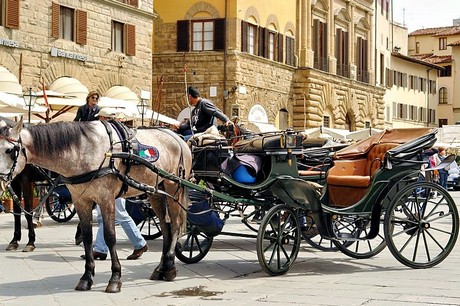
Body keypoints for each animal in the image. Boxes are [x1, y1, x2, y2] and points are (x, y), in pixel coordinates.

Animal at [0, 118, 191, 292]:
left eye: (9, 150)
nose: (1, 180)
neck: (83, 150)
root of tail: (178, 138)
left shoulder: (106, 200)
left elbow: (110, 236)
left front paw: (115, 278)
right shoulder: (81, 200)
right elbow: (87, 237)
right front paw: (86, 277)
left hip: (174, 188)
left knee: (175, 225)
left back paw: (170, 266)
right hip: (156, 191)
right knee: (165, 227)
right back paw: (161, 268)